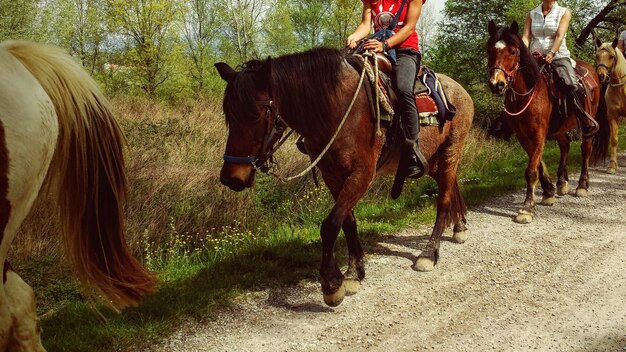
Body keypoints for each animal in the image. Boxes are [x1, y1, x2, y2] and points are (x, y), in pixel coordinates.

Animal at [216, 47, 472, 308]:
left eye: (255, 115)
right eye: (229, 115)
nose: (231, 178)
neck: (337, 107)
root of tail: (461, 90)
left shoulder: (362, 174)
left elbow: (330, 225)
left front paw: (331, 284)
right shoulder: (332, 176)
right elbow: (347, 221)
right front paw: (353, 272)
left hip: (451, 152)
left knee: (443, 200)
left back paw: (429, 253)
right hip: (433, 161)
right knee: (451, 186)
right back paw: (459, 226)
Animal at [486, 20, 604, 224]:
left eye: (513, 51)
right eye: (490, 50)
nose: (497, 84)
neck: (529, 94)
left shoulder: (538, 133)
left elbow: (532, 169)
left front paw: (526, 208)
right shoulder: (523, 135)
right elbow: (538, 164)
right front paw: (548, 192)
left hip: (588, 123)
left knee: (585, 149)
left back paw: (582, 185)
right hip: (560, 128)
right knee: (565, 145)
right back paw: (562, 183)